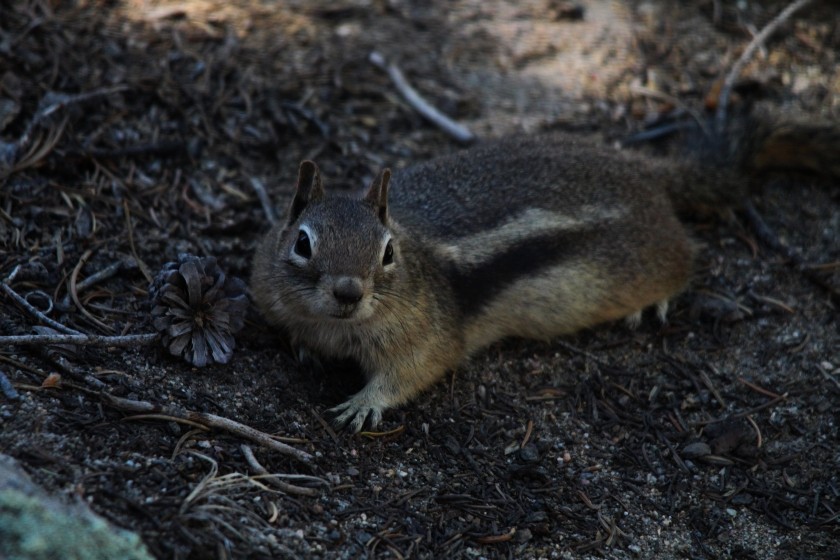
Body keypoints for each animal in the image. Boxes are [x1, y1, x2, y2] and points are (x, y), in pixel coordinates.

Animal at [249, 117, 840, 434]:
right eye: (302, 242)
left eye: (387, 252)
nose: (349, 292)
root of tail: (644, 169)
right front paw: (304, 347)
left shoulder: (426, 334)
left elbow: (414, 371)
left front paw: (364, 403)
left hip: (642, 260)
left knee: (685, 258)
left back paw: (654, 300)